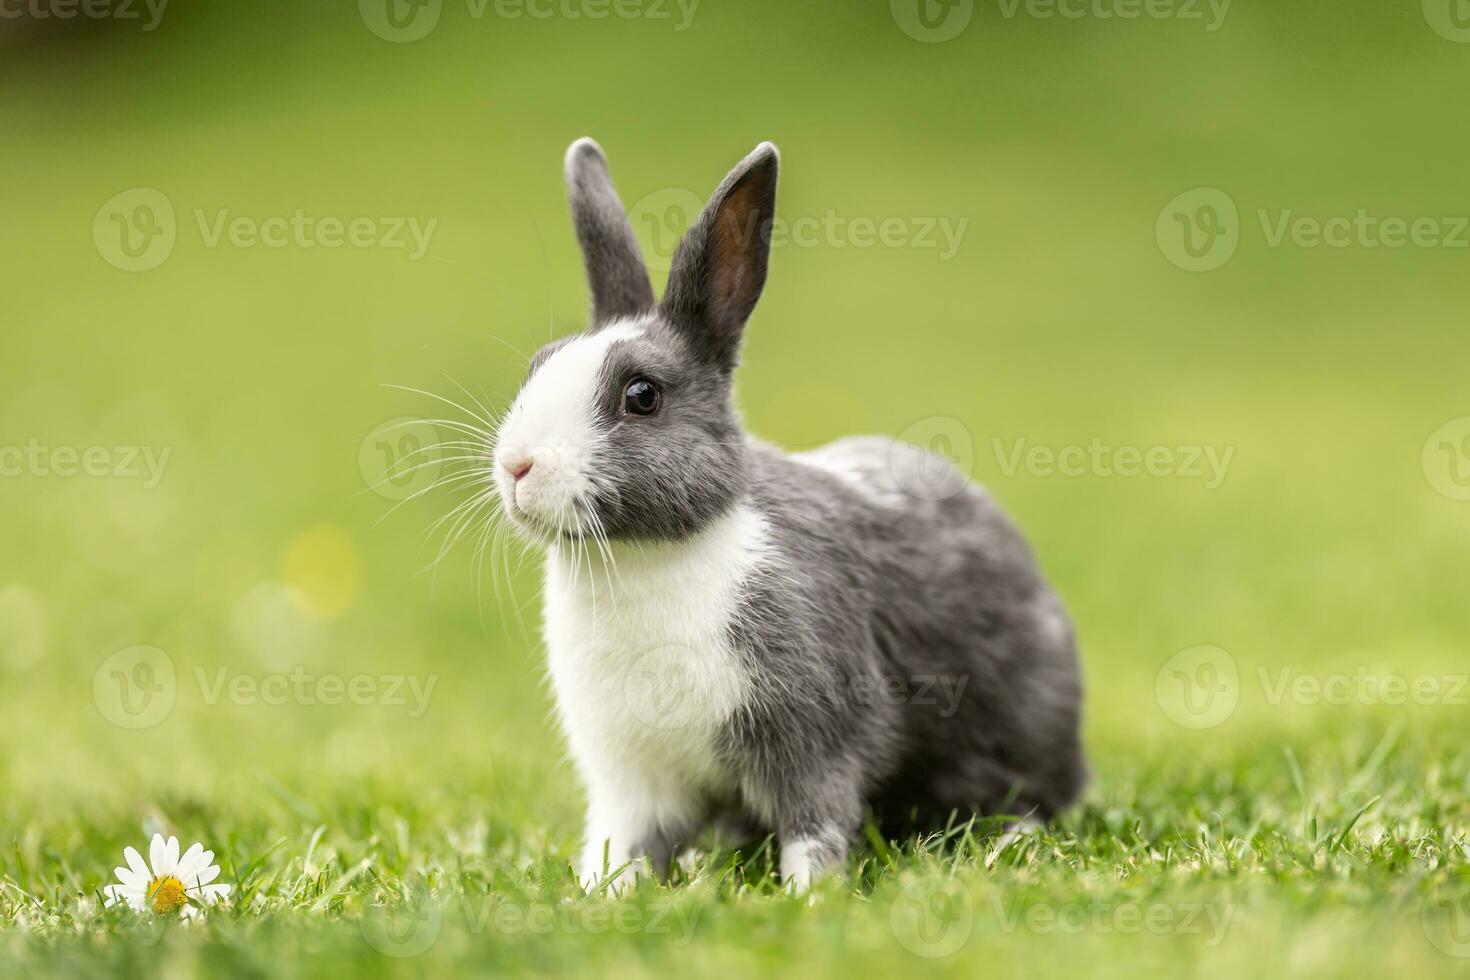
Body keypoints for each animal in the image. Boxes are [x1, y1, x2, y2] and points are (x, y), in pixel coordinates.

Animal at [488, 138, 1087, 887]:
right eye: (537, 366)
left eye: (642, 395)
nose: (516, 466)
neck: (647, 555)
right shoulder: (633, 778)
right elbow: (622, 845)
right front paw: (603, 897)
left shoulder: (814, 733)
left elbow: (815, 824)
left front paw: (809, 895)